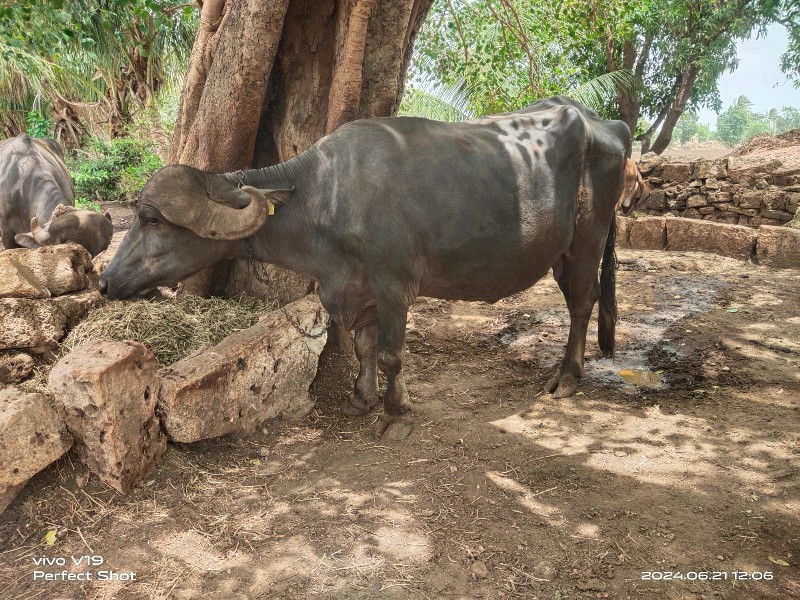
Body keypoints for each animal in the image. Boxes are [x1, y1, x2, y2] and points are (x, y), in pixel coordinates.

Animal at [100, 96, 648, 438]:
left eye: (151, 218)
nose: (105, 280)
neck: (327, 194)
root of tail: (607, 125)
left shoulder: (393, 288)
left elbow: (390, 354)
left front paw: (394, 411)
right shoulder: (350, 288)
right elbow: (362, 346)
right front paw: (362, 398)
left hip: (588, 238)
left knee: (582, 301)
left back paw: (568, 376)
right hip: (562, 250)